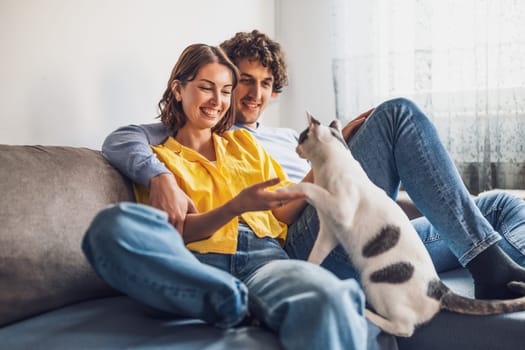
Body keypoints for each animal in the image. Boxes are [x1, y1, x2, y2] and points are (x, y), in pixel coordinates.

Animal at [280, 112, 524, 336]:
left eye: (301, 137)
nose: (296, 148)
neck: (328, 165)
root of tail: (440, 289)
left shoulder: (341, 207)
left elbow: (310, 188)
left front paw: (287, 190)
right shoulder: (328, 232)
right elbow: (315, 254)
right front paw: (307, 267)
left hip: (373, 280)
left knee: (404, 328)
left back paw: (367, 313)